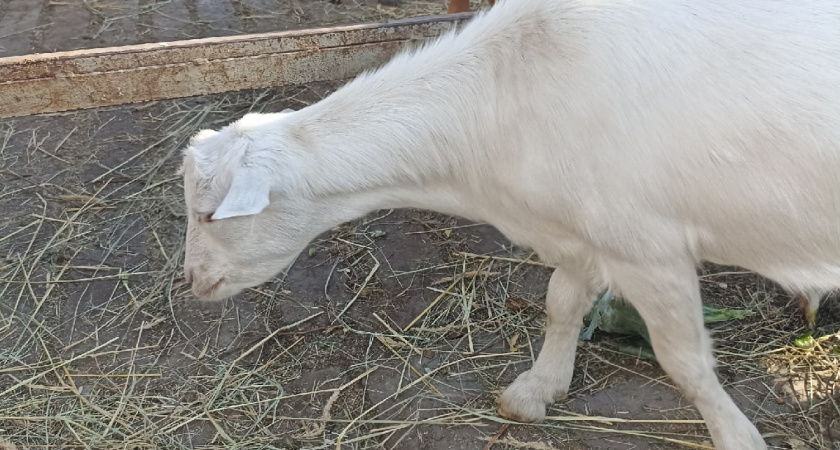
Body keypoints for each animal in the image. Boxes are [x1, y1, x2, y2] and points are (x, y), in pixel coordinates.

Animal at [179, 1, 840, 448]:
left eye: (211, 214)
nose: (191, 280)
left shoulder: (646, 248)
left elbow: (685, 362)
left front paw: (737, 436)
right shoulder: (578, 232)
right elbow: (561, 303)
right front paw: (536, 389)